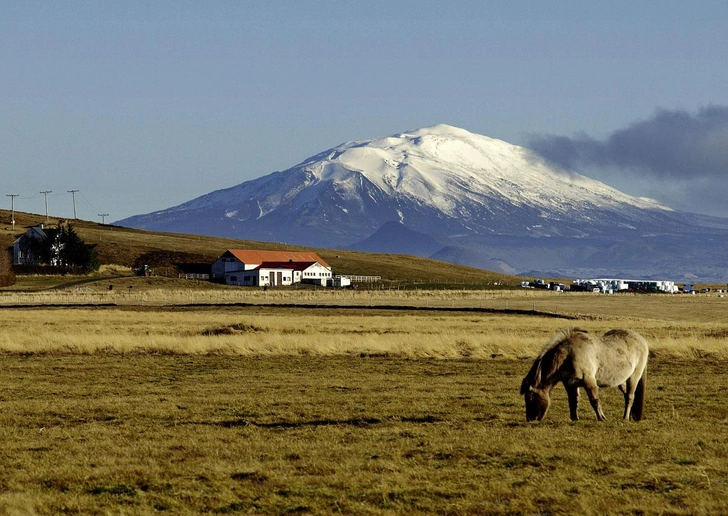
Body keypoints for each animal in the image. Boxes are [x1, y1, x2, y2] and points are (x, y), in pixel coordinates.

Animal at [516, 328, 648, 422]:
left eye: (531, 397)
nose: (530, 419)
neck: (568, 355)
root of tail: (642, 341)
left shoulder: (588, 381)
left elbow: (594, 400)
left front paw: (601, 418)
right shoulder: (570, 384)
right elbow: (573, 400)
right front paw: (575, 418)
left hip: (634, 377)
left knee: (630, 396)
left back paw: (625, 418)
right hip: (621, 381)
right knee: (626, 395)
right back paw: (631, 416)